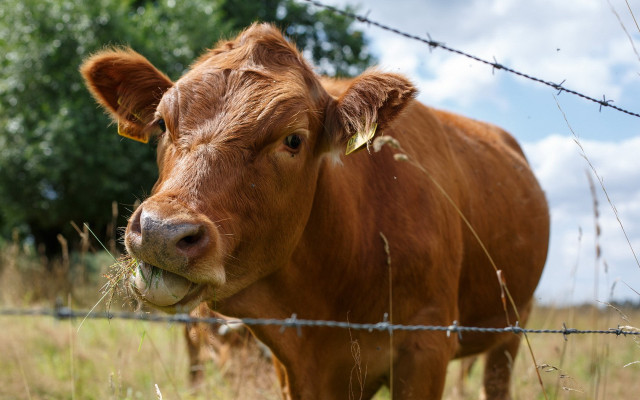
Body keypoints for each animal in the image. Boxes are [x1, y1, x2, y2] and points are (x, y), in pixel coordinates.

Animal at [81, 23, 549, 399]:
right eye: (162, 123)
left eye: (293, 139)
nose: (161, 232)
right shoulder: (292, 363)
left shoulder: (427, 346)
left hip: (513, 324)